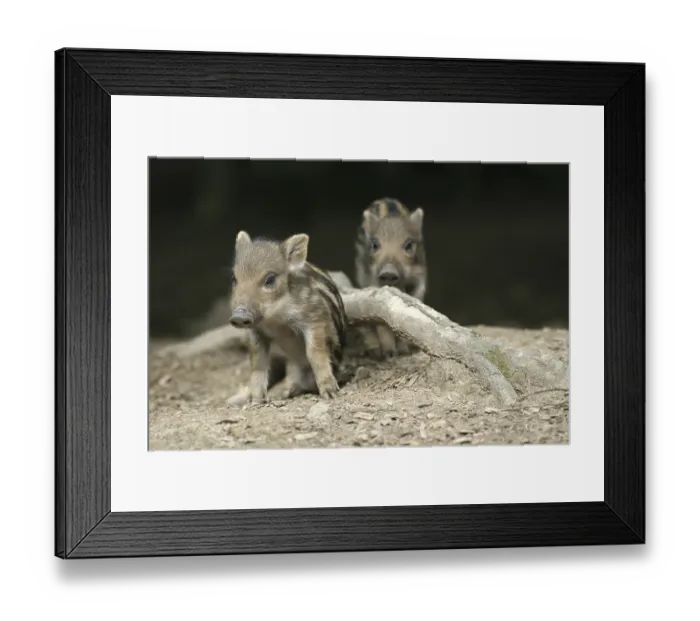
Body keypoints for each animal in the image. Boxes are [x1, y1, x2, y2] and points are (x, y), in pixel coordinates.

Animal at [229, 231, 348, 402]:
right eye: (234, 278)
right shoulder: (255, 331)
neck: (274, 320)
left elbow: (315, 353)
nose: (238, 315)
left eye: (270, 279)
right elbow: (258, 362)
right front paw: (256, 400)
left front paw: (331, 393)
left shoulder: (315, 316)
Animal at [354, 197, 427, 357]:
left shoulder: (419, 279)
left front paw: (405, 350)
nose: (389, 272)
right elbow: (381, 319)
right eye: (375, 245)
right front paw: (389, 354)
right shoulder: (373, 280)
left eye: (409, 245)